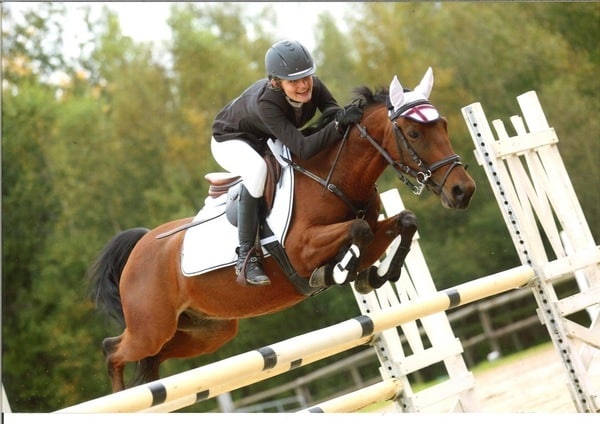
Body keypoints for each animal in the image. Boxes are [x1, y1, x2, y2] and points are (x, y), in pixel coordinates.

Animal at [89, 68, 476, 392]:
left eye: (442, 125)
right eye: (413, 132)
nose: (463, 191)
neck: (332, 178)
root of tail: (141, 245)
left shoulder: (376, 226)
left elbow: (403, 222)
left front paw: (376, 275)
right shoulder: (302, 250)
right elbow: (359, 231)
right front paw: (339, 272)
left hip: (207, 330)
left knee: (147, 357)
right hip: (152, 328)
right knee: (113, 350)